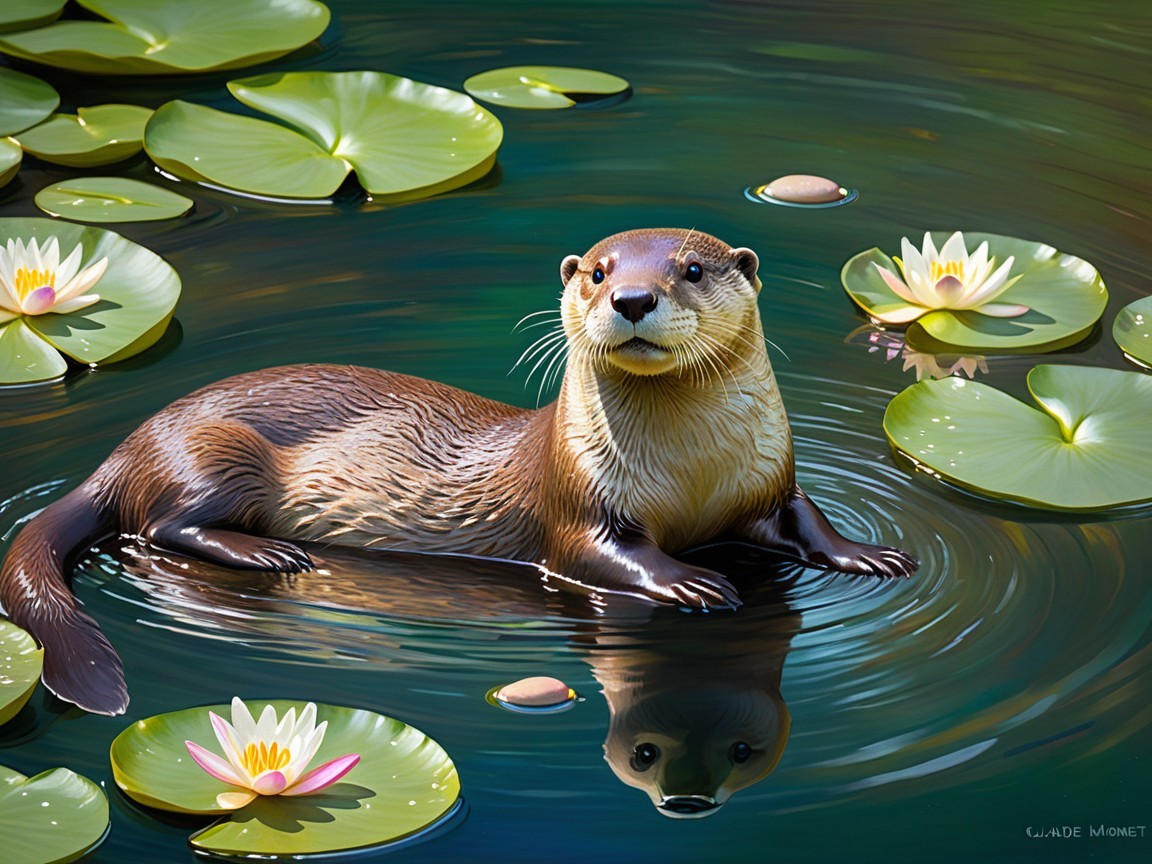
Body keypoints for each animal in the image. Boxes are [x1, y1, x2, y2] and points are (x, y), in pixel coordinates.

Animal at [0, 228, 916, 716]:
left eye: (690, 270)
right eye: (599, 272)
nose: (632, 299)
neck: (690, 475)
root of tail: (128, 444)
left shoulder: (768, 478)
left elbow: (803, 518)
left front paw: (869, 554)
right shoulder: (580, 500)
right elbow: (603, 556)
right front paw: (689, 580)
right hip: (213, 452)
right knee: (160, 524)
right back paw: (266, 553)